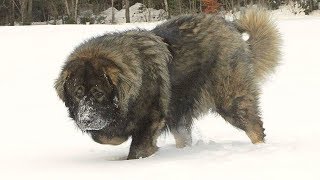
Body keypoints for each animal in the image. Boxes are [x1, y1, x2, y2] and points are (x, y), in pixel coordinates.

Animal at [55, 8, 280, 159]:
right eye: (78, 92)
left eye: (98, 93)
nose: (86, 119)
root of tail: (230, 27)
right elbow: (105, 136)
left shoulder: (151, 118)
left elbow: (137, 148)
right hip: (181, 110)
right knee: (184, 135)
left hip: (231, 99)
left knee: (255, 126)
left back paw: (259, 150)